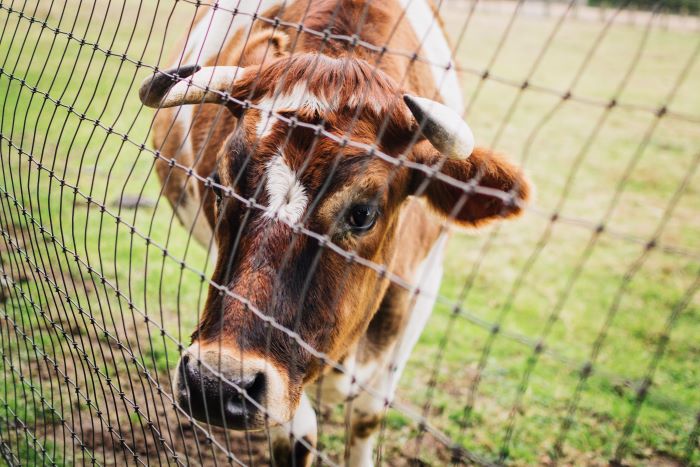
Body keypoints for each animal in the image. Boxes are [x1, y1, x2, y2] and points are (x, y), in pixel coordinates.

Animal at [138, 1, 532, 466]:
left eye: (362, 214)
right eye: (218, 186)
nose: (215, 385)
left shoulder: (421, 293)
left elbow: (366, 417)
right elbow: (298, 437)